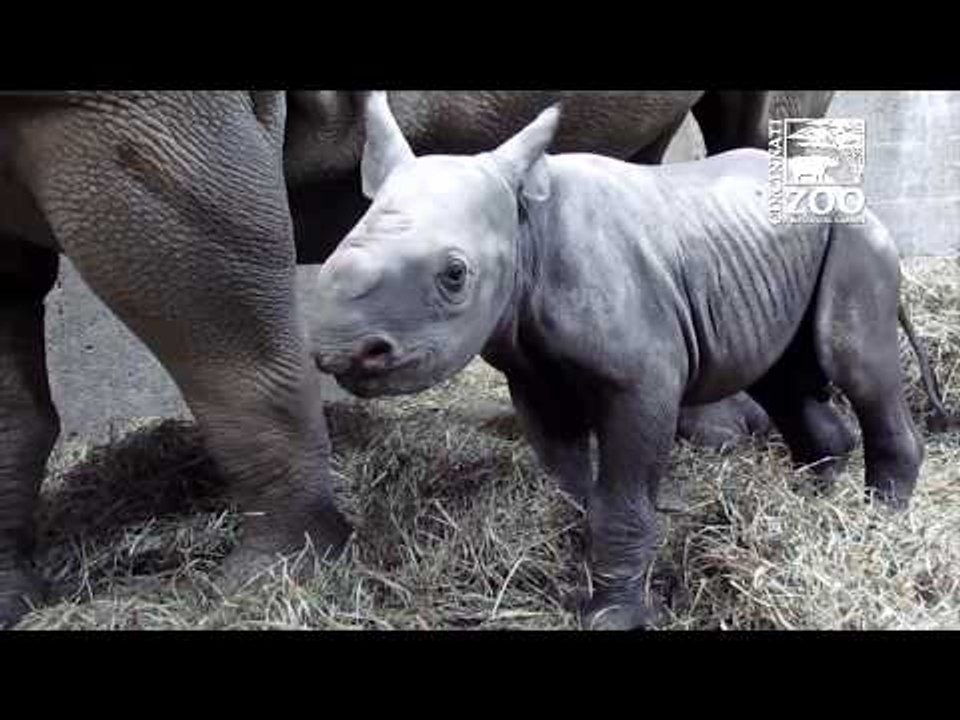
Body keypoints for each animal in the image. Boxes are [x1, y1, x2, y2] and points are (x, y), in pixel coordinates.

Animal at [309, 93, 931, 630]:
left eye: (455, 275)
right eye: (332, 259)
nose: (345, 350)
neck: (525, 226)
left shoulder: (642, 380)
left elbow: (623, 496)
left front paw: (612, 616)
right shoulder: (531, 375)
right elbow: (571, 480)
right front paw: (572, 561)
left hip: (855, 234)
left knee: (852, 362)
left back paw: (879, 524)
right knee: (781, 378)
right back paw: (813, 505)